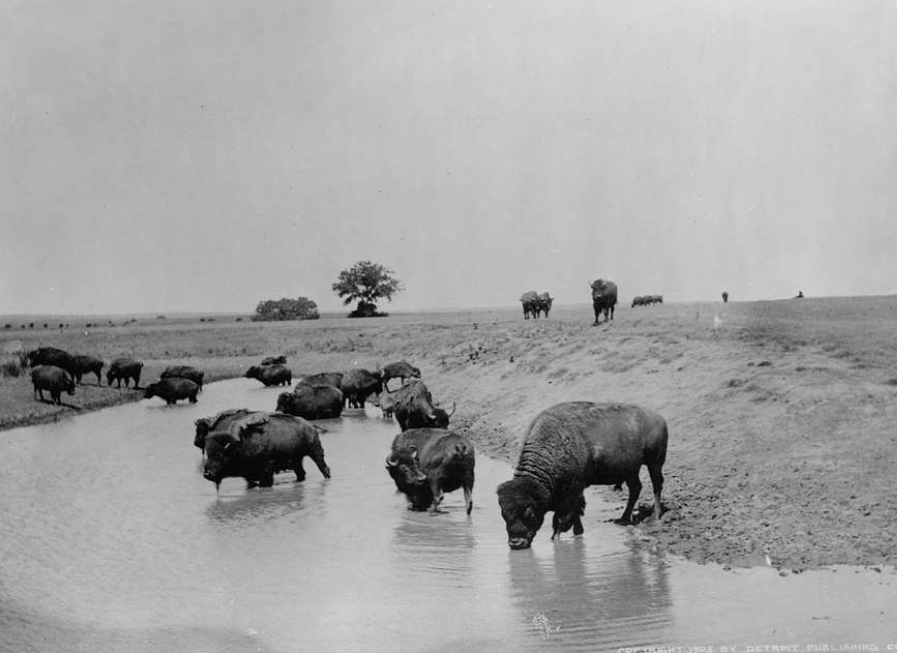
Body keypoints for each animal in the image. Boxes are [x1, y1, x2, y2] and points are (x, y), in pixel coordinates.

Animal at [202, 412, 331, 489]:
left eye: (220, 455)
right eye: (208, 454)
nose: (207, 474)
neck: (238, 445)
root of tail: (310, 425)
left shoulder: (267, 470)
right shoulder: (249, 475)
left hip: (315, 452)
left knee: (324, 468)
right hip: (297, 460)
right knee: (301, 473)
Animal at [497, 401, 668, 550]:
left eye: (529, 512)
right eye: (503, 514)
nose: (516, 543)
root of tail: (659, 417)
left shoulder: (572, 491)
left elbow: (561, 518)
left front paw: (555, 539)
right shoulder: (575, 493)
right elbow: (576, 513)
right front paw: (577, 532)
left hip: (654, 463)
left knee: (657, 485)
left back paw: (655, 516)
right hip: (631, 471)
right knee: (636, 488)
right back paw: (623, 518)